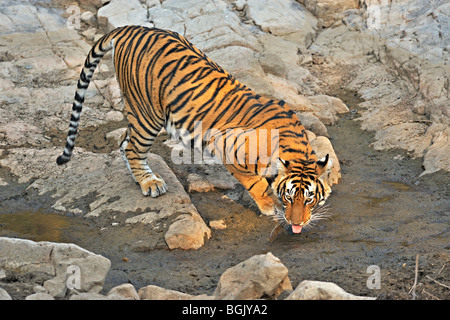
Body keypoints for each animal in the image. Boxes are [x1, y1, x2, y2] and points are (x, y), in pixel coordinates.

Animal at [55, 25, 330, 234]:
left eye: (309, 199)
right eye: (289, 197)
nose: (297, 223)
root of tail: (131, 28)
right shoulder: (225, 146)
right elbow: (256, 183)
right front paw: (269, 206)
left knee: (124, 139)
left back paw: (140, 177)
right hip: (149, 115)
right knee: (133, 147)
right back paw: (150, 183)